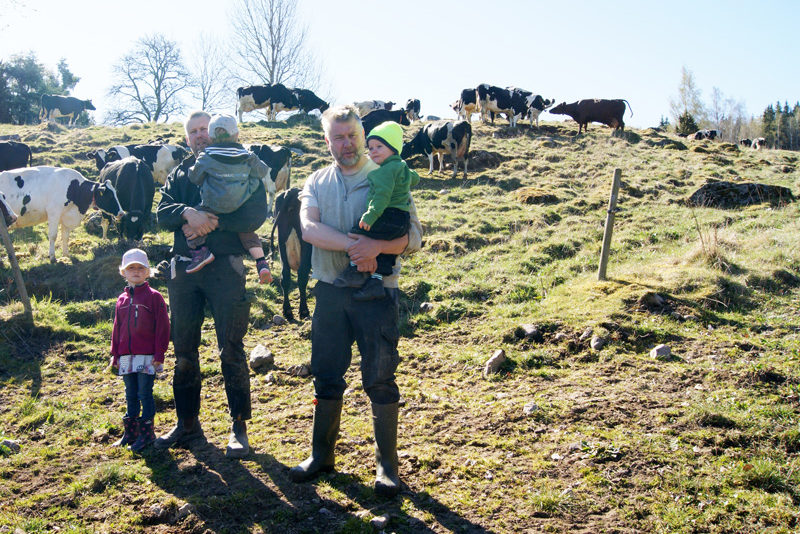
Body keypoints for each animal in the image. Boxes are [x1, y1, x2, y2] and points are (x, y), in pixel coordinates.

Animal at [268, 188, 308, 322]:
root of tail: (293, 191)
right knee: (302, 276)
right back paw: (304, 311)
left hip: (282, 244)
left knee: (285, 276)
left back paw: (287, 311)